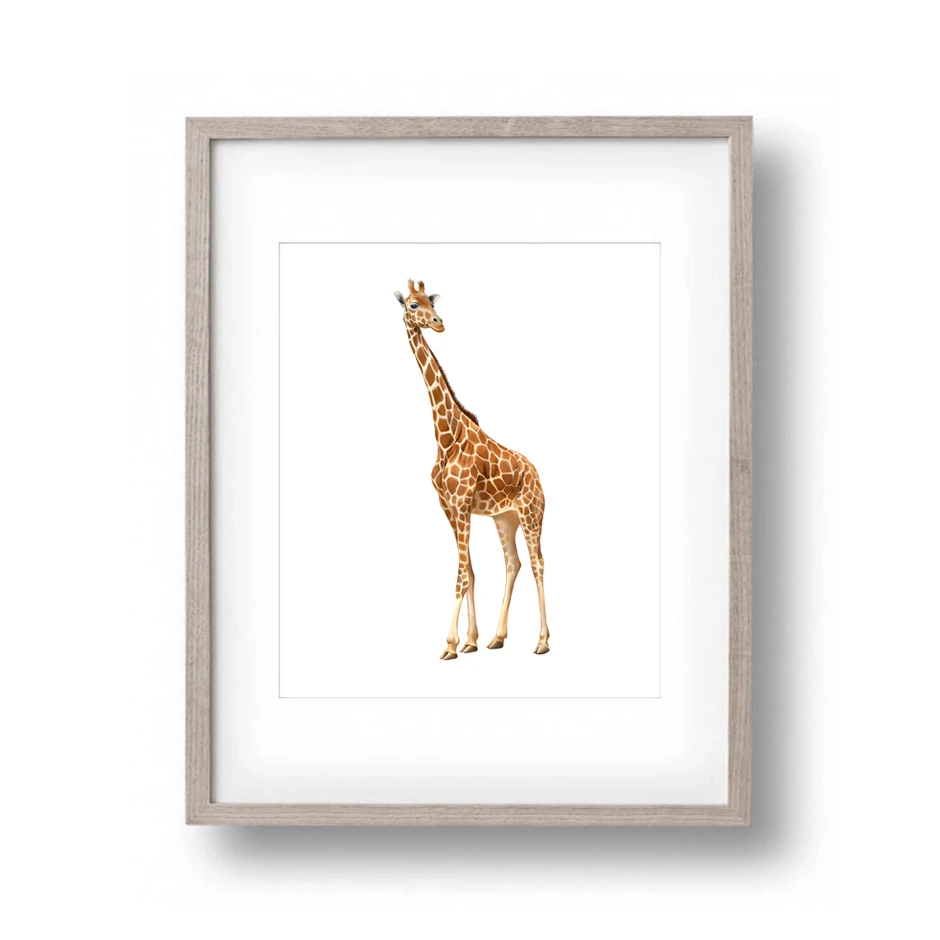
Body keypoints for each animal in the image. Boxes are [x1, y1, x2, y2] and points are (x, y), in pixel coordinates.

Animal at [395, 279, 550, 660]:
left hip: (531, 514)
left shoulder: (463, 504)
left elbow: (462, 575)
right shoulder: (449, 507)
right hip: (504, 518)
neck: (446, 437)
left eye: (430, 302)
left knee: (537, 563)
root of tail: (537, 473)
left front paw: (450, 643)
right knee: (513, 563)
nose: (438, 323)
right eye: (412, 305)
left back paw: (542, 642)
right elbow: (471, 572)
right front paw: (470, 640)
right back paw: (498, 637)